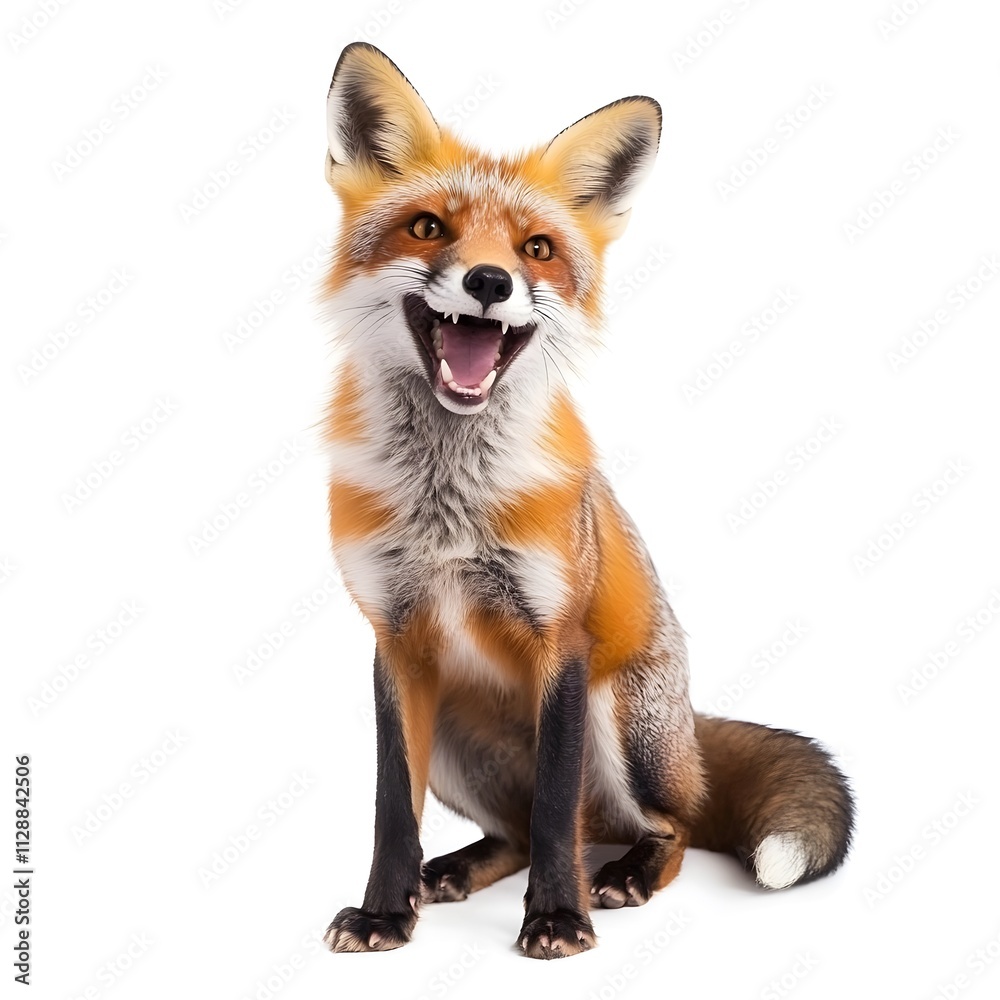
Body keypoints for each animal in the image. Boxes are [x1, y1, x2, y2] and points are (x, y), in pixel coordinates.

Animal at [320, 43, 854, 960]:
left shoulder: (559, 639)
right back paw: (450, 872)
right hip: (454, 735)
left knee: (659, 826)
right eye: (428, 228)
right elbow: (395, 808)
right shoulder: (395, 639)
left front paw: (557, 918)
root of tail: (688, 724)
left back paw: (625, 874)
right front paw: (386, 912)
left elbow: (556, 806)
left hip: (619, 724)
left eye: (536, 248)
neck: (447, 504)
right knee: (520, 831)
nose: (489, 280)